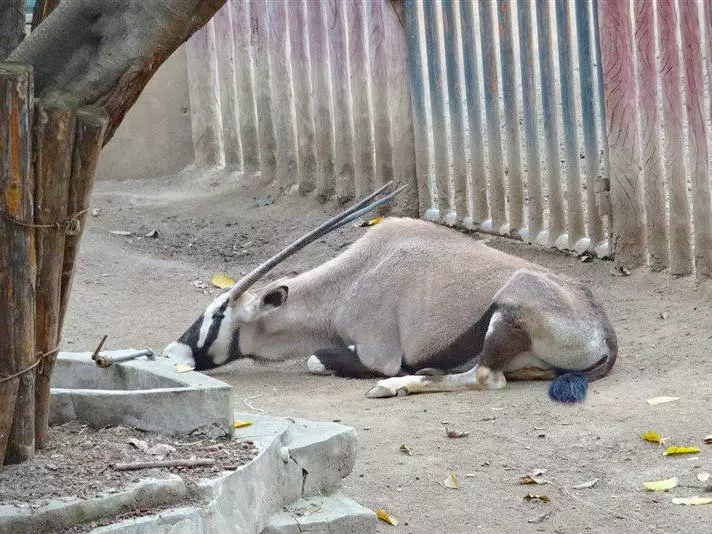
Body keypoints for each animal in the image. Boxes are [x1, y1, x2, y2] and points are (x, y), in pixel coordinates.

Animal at [165, 182, 616, 404]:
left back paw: (397, 386)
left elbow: (315, 359)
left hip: (511, 304)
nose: (173, 352)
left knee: (487, 378)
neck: (349, 282)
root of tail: (604, 331)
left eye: (218, 314)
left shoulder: (377, 353)